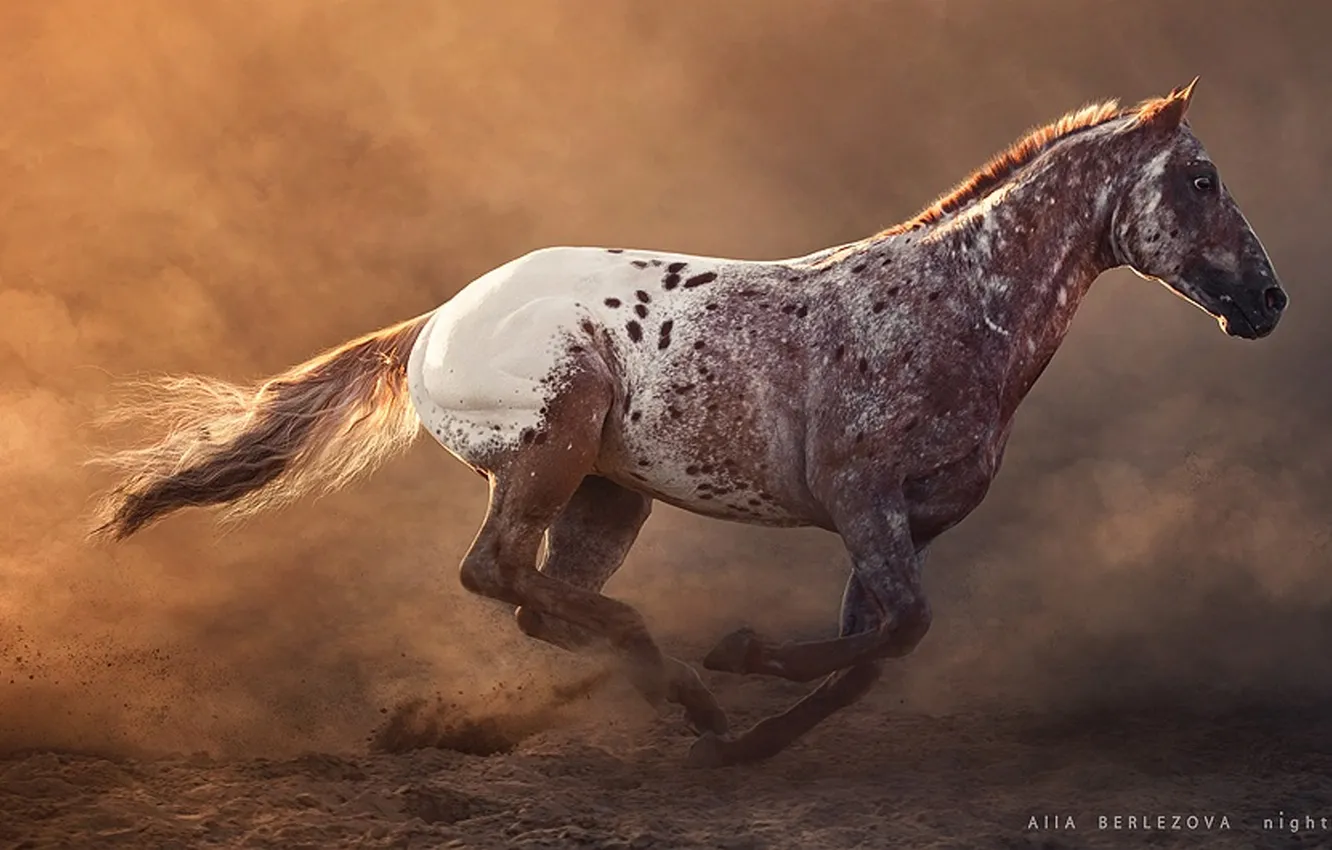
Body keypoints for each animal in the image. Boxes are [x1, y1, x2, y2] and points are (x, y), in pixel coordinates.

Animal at [92, 79, 1288, 767]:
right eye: (1200, 178)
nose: (1270, 301)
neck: (955, 305)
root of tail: (434, 322)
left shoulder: (909, 523)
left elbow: (873, 647)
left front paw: (757, 737)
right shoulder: (863, 497)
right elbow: (898, 629)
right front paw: (741, 659)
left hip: (608, 494)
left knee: (536, 598)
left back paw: (646, 703)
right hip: (555, 443)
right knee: (496, 572)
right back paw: (677, 683)